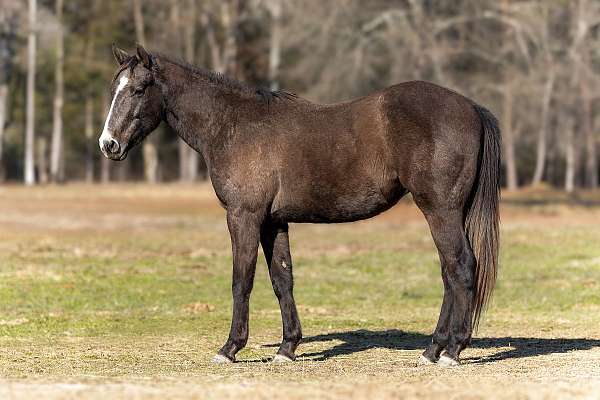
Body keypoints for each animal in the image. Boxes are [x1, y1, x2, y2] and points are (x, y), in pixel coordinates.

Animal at [99, 45, 502, 368]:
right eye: (114, 88)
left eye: (138, 89)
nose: (109, 144)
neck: (234, 125)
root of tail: (471, 107)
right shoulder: (273, 222)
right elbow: (282, 279)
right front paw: (287, 348)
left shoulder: (244, 217)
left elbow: (241, 280)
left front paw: (230, 348)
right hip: (448, 213)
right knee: (450, 273)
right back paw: (433, 350)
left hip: (440, 211)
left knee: (461, 267)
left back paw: (452, 351)